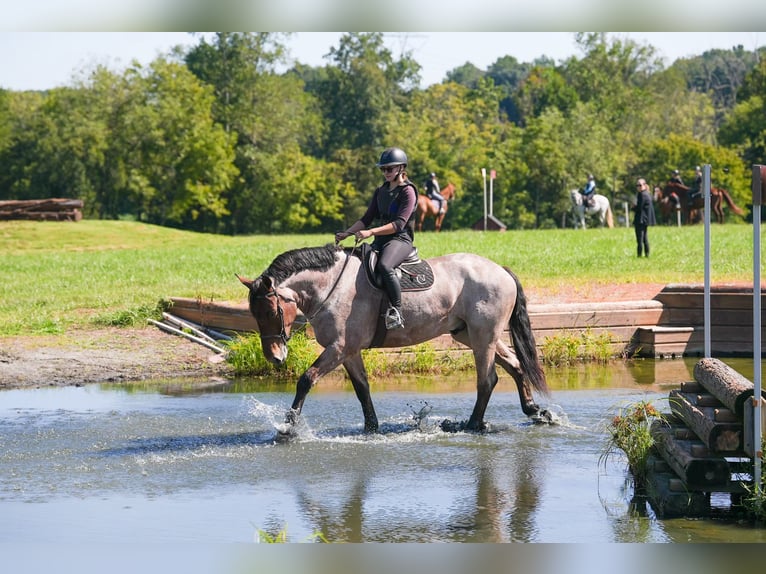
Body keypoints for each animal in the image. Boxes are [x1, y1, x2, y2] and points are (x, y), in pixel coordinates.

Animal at [237, 243, 552, 437]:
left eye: (272, 311)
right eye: (254, 313)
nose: (274, 356)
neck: (330, 287)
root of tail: (500, 270)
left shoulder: (339, 348)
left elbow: (306, 380)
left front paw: (288, 428)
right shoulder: (349, 351)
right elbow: (362, 389)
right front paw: (371, 428)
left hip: (482, 336)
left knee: (487, 380)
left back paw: (472, 424)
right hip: (470, 334)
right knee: (515, 365)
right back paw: (534, 410)